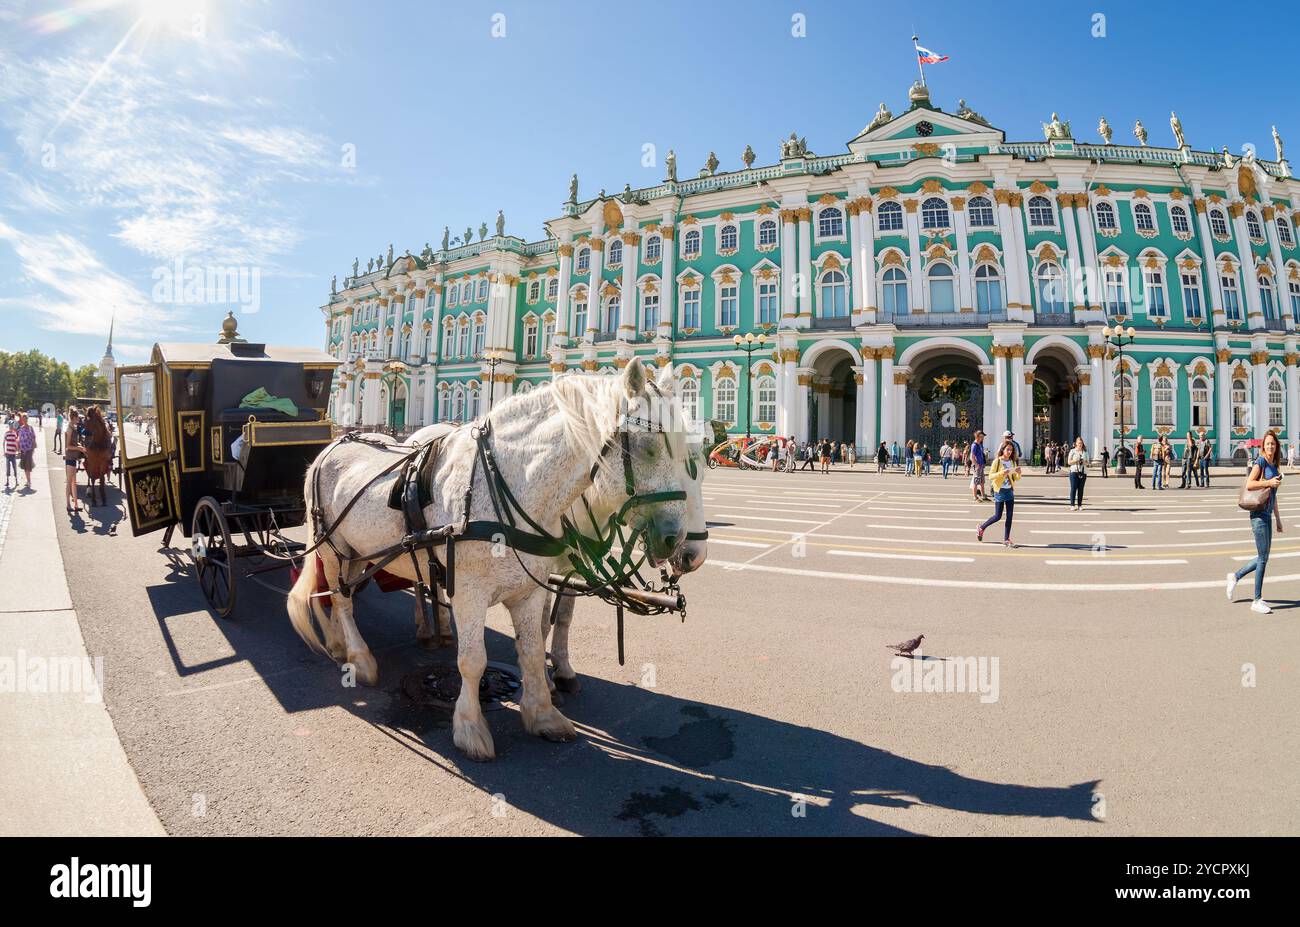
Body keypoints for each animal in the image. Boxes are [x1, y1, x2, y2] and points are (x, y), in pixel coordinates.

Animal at [288, 358, 695, 761]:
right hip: (332, 547)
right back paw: (361, 660)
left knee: (340, 595)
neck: (506, 485)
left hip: (358, 552)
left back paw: (339, 645)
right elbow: (472, 661)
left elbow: (532, 650)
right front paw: (470, 729)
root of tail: (333, 445)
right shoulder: (469, 594)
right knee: (342, 600)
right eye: (648, 446)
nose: (677, 541)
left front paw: (544, 715)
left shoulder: (530, 591)